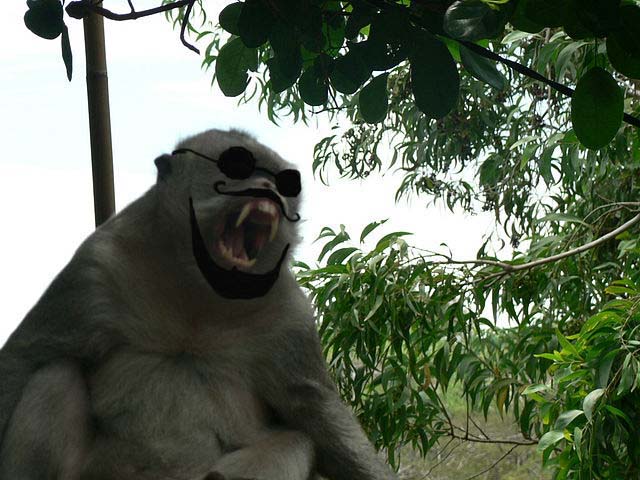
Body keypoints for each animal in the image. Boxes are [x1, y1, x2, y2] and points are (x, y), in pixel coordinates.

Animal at [0, 129, 398, 480]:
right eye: (237, 167)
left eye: (283, 182)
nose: (269, 190)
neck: (200, 292)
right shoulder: (96, 267)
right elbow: (24, 358)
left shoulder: (290, 313)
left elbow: (314, 409)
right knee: (55, 376)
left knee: (296, 440)